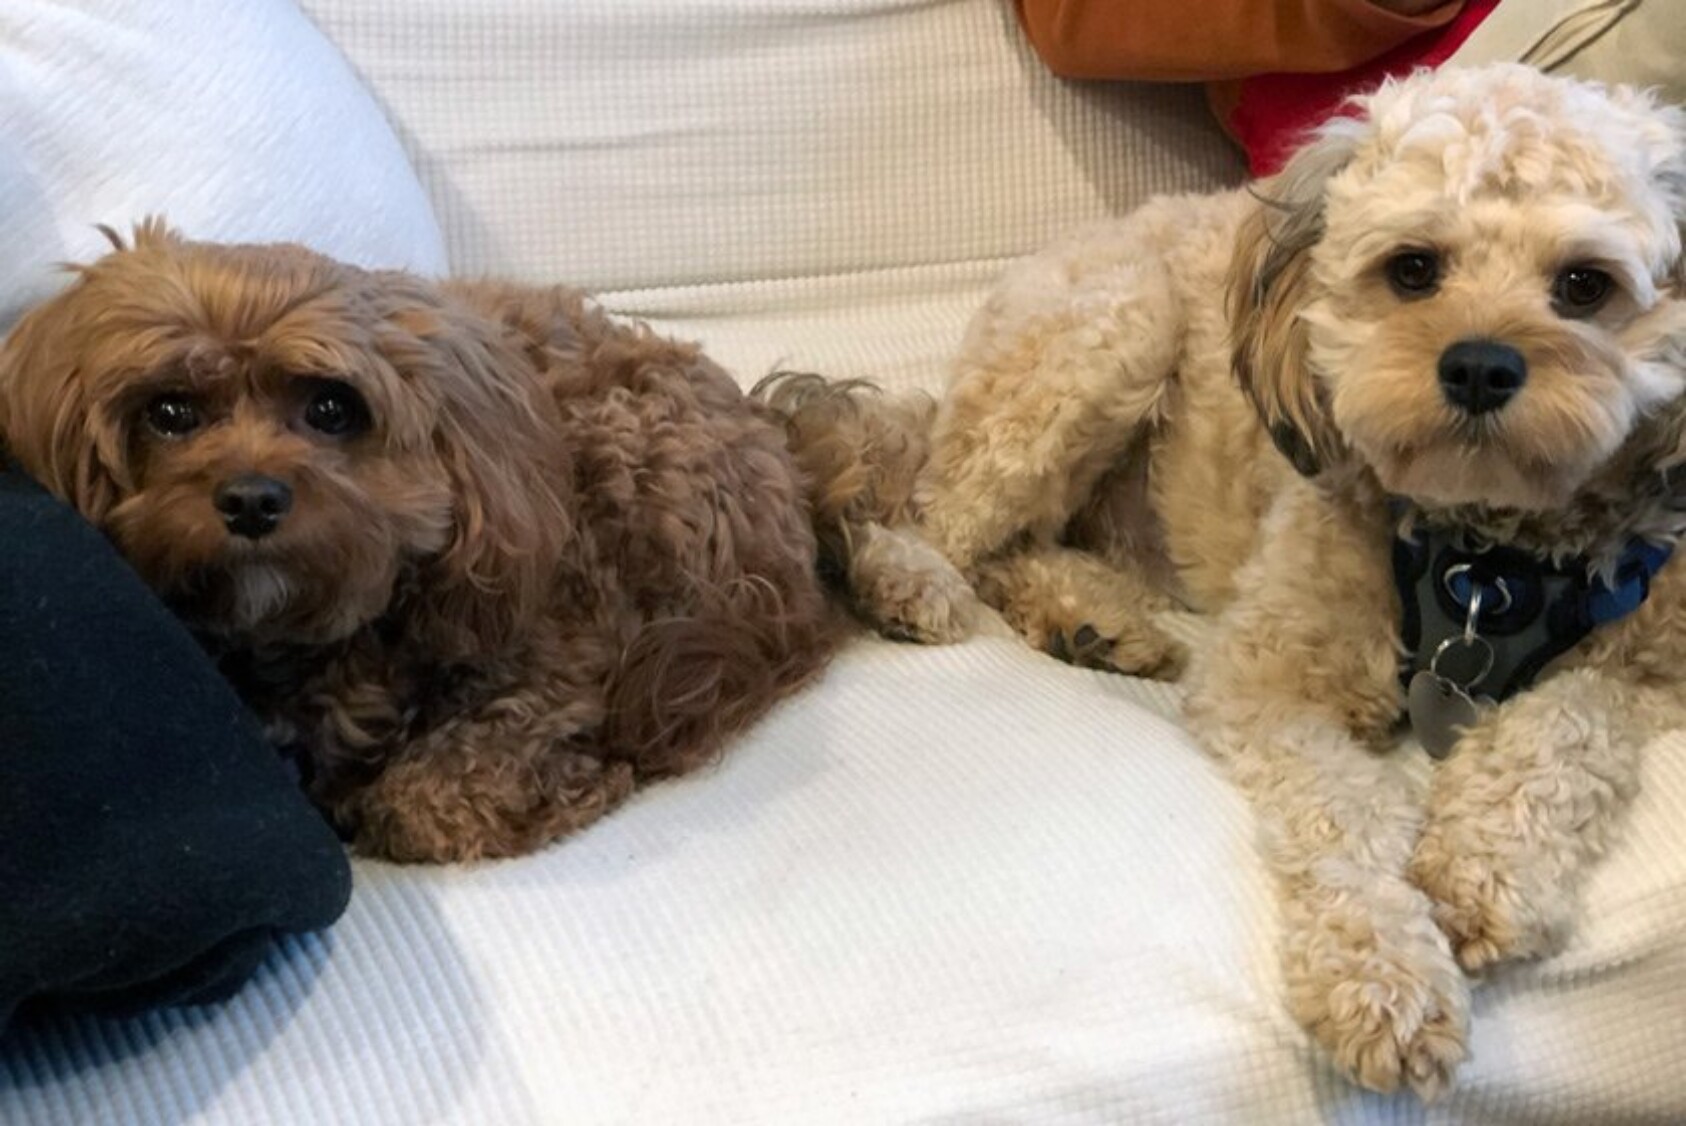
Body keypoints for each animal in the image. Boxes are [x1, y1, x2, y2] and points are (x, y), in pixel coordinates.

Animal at [792, 66, 1686, 1092]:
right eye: (1413, 268)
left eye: (1584, 285)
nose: (1479, 366)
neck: (1483, 559)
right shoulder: (1264, 680)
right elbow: (1345, 817)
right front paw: (1381, 977)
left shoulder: (1648, 666)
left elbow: (1563, 726)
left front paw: (1478, 874)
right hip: (1110, 338)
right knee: (939, 517)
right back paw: (909, 580)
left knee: (1018, 545)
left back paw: (1092, 621)